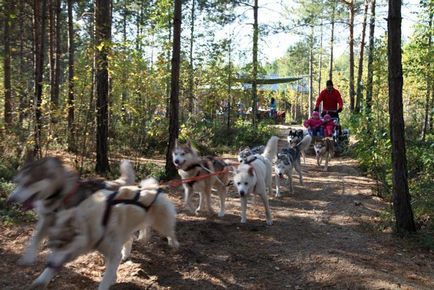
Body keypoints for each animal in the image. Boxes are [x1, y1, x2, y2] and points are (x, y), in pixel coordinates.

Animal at [28, 178, 179, 290]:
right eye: (51, 247)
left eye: (62, 245)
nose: (49, 263)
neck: (90, 223)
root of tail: (152, 188)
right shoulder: (105, 250)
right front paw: (41, 279)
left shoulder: (112, 252)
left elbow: (106, 276)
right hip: (126, 230)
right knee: (130, 239)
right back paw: (126, 254)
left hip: (162, 225)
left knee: (170, 232)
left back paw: (174, 243)